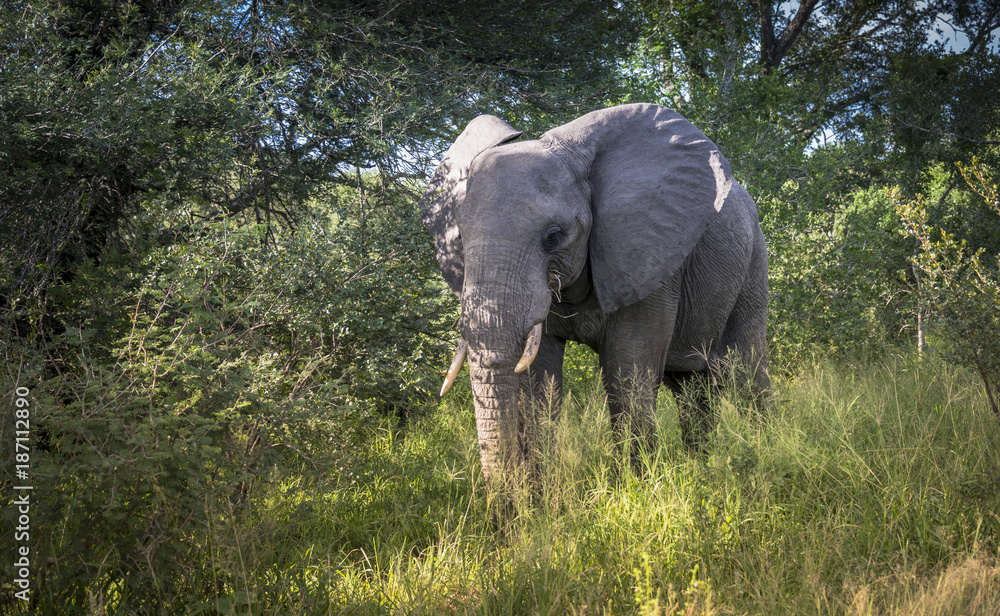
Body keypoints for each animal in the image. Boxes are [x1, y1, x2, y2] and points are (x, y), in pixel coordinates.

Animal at [420, 103, 769, 491]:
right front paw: (540, 501)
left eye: (554, 236)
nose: (506, 504)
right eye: (459, 237)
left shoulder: (648, 255)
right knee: (690, 386)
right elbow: (538, 383)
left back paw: (765, 455)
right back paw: (703, 468)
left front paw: (633, 492)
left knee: (747, 371)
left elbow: (627, 371)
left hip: (753, 262)